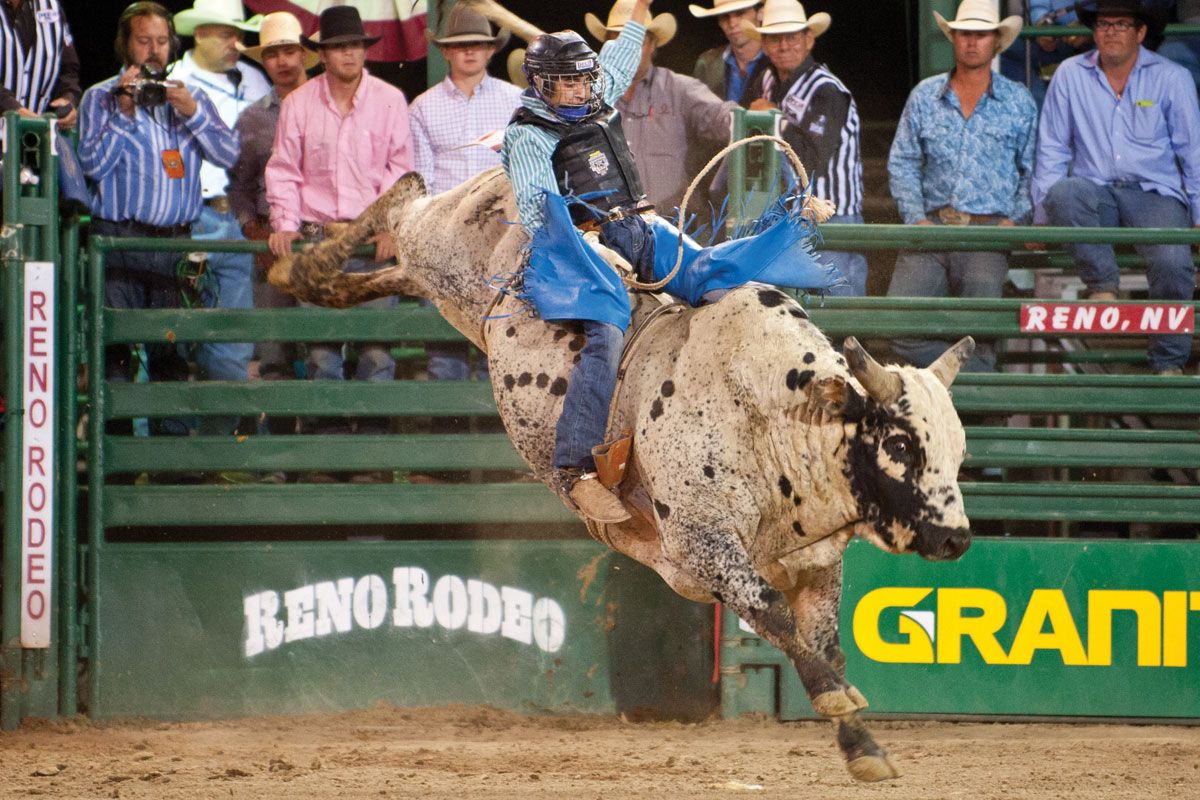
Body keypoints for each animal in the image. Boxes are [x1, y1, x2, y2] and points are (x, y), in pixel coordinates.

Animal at [270, 167, 974, 782]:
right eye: (901, 442)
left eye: (958, 451)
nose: (956, 538)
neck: (774, 408)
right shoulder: (704, 543)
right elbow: (776, 620)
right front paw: (839, 704)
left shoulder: (814, 563)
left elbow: (822, 641)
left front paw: (863, 748)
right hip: (437, 239)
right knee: (404, 198)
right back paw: (302, 262)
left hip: (446, 288)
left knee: (399, 261)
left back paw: (317, 279)